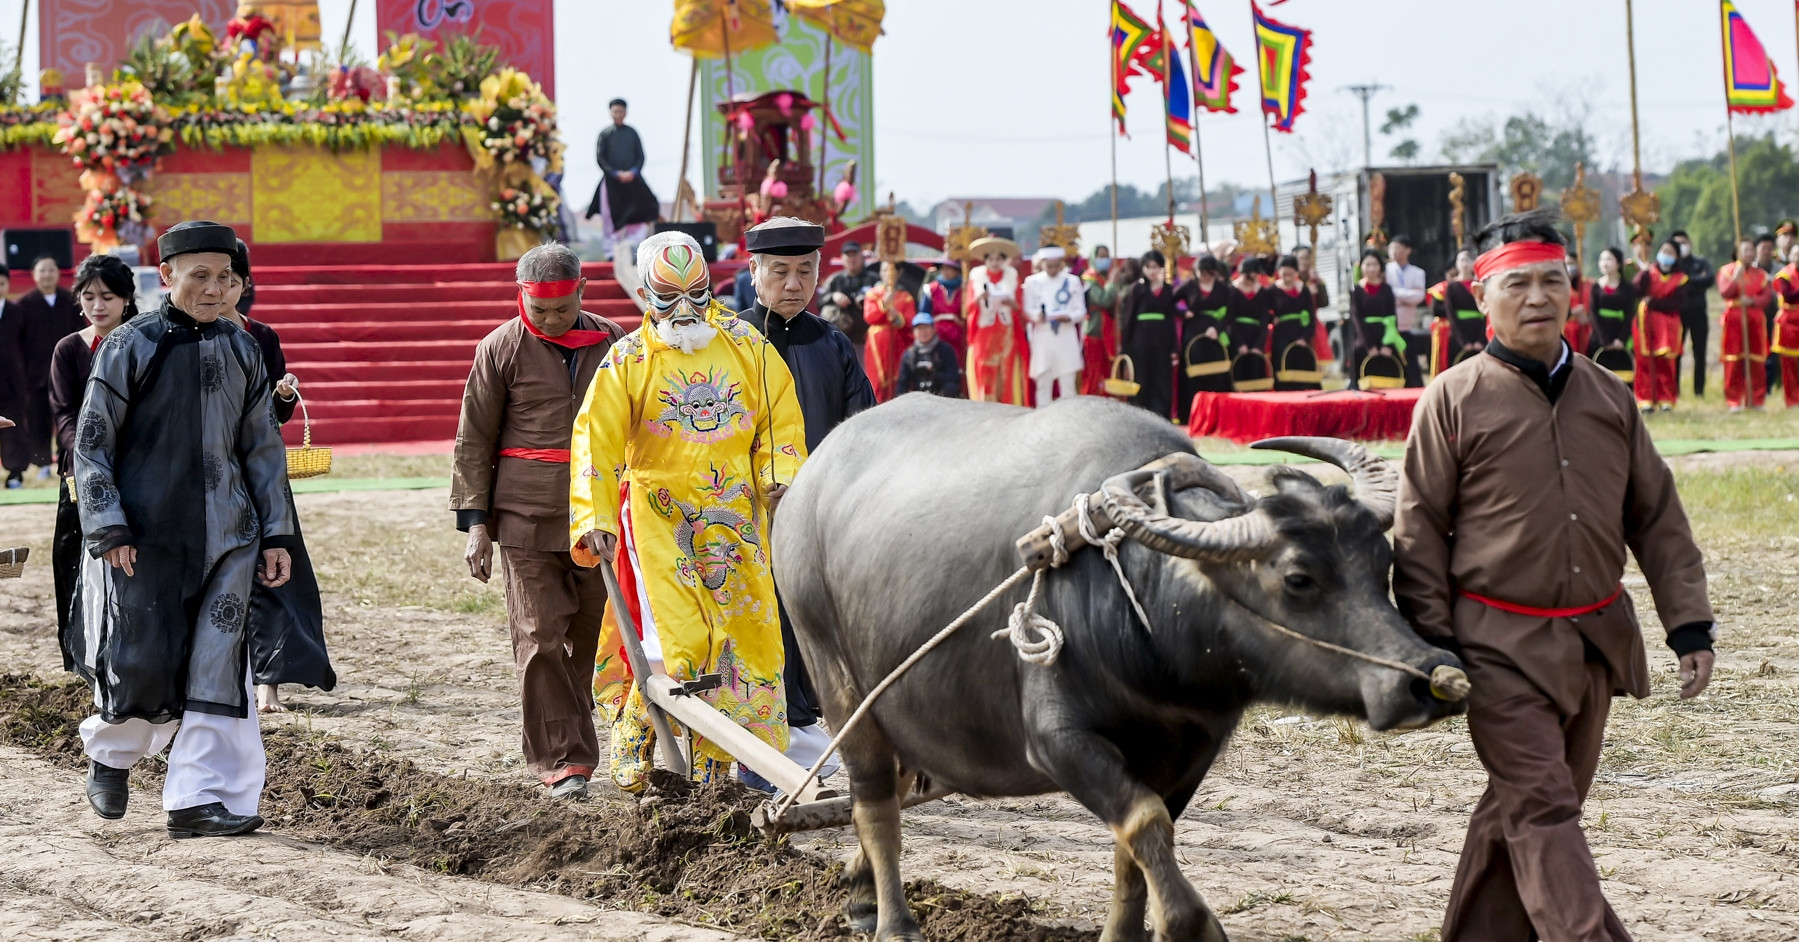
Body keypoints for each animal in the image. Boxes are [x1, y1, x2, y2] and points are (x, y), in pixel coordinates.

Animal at [769, 393, 1460, 934]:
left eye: (1383, 561)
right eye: (1297, 579)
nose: (1428, 679)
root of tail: (808, 481)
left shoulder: (1191, 749)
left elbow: (1139, 846)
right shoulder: (1058, 740)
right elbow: (1146, 823)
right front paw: (1191, 924)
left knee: (887, 784)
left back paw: (859, 896)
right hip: (835, 678)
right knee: (874, 801)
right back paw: (894, 922)